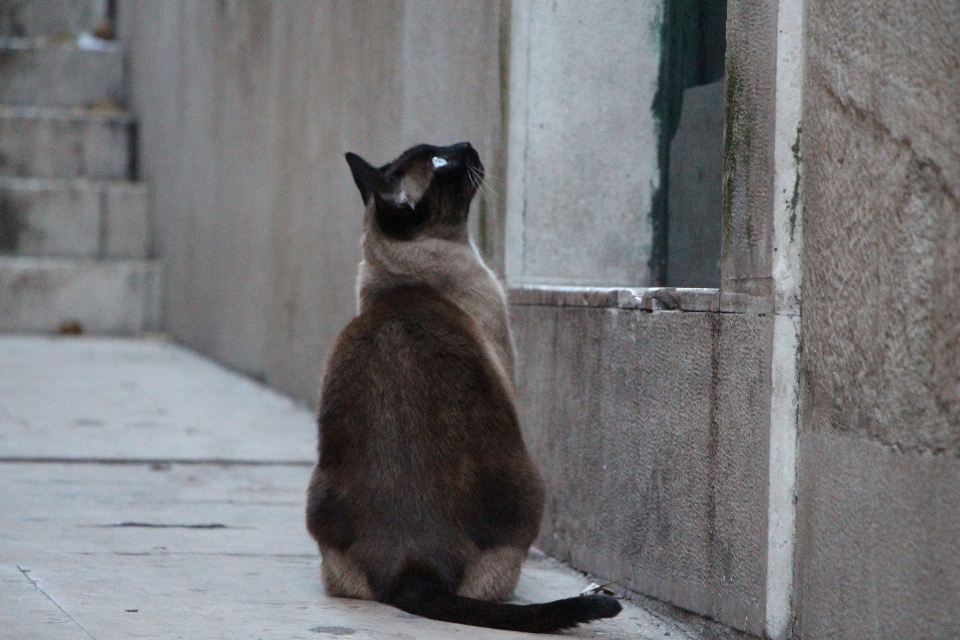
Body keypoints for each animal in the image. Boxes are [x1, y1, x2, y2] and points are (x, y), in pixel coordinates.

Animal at [308, 142, 624, 632]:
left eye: (441, 151)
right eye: (440, 163)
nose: (467, 146)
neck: (404, 277)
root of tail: (412, 568)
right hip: (531, 486)